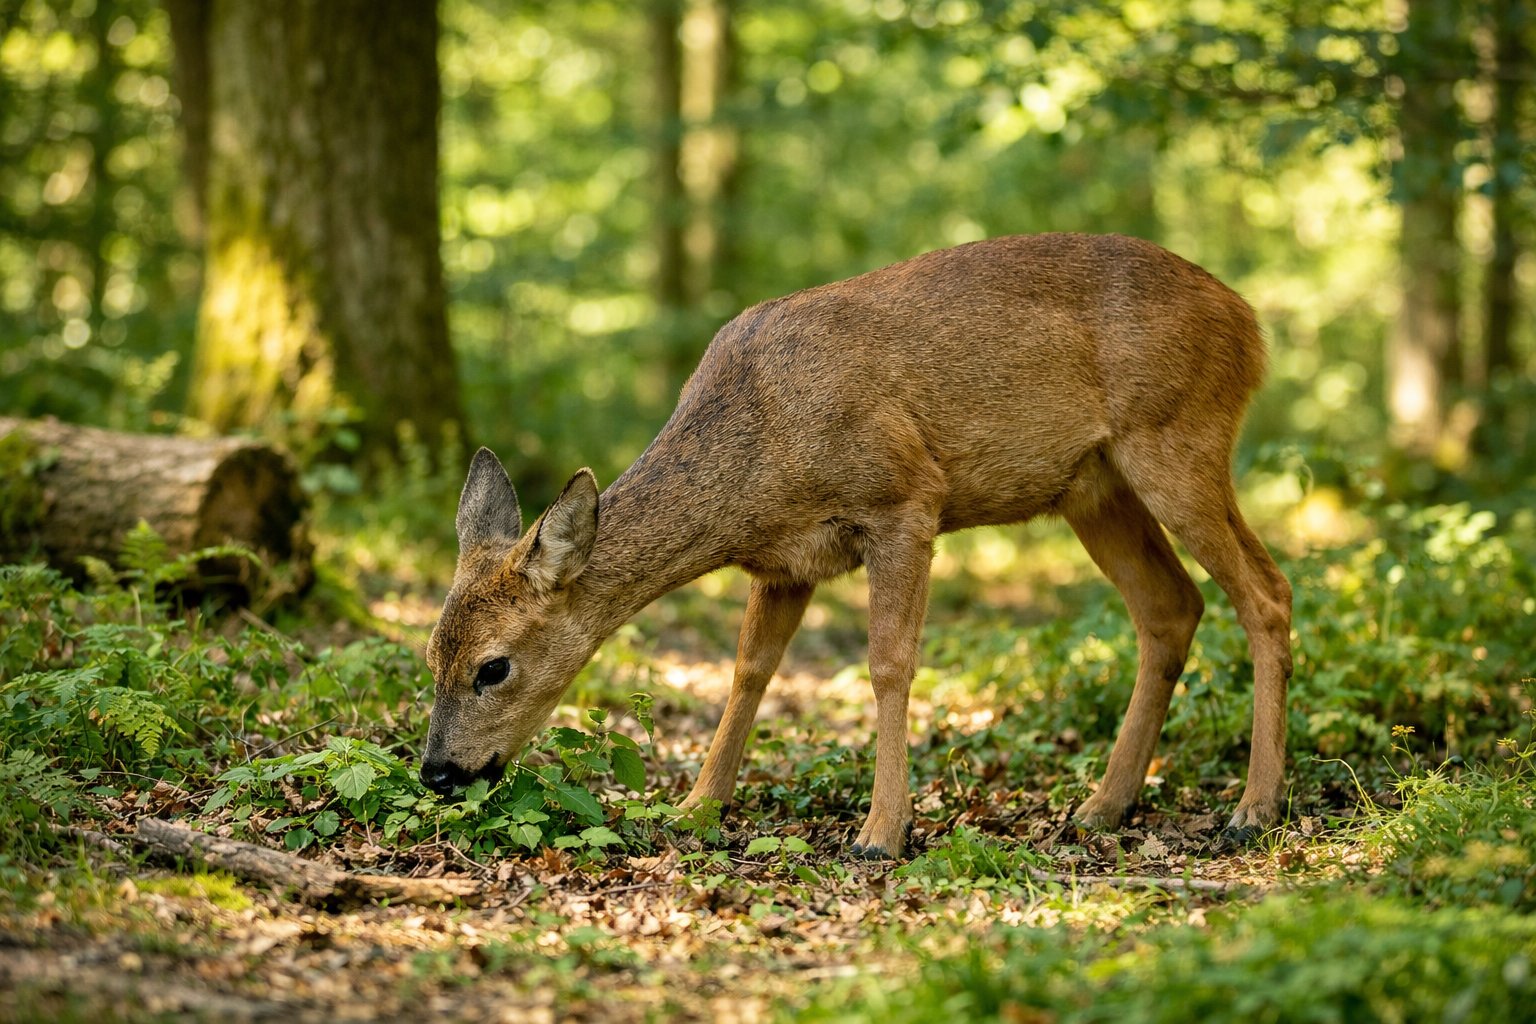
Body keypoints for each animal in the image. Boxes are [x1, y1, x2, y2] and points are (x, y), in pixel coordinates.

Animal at [419, 233, 1294, 858]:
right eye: (431, 656)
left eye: (493, 667)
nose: (437, 772)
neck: (759, 453)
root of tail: (1250, 322)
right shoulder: (783, 563)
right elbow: (749, 671)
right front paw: (697, 807)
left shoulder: (903, 499)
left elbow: (888, 663)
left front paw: (883, 831)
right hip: (1094, 488)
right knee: (1170, 607)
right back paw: (1103, 806)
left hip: (1179, 437)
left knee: (1267, 591)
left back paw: (1252, 811)